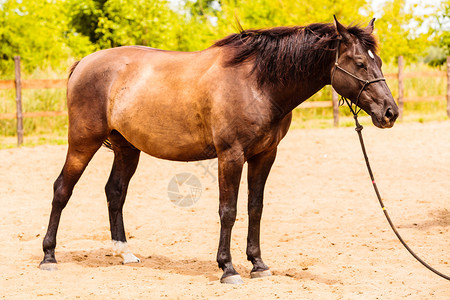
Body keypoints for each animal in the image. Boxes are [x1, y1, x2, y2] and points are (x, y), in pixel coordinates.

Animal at [38, 17, 398, 284]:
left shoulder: (264, 156)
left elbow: (255, 208)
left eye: (378, 61)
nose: (390, 113)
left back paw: (125, 253)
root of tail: (84, 63)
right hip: (83, 142)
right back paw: (49, 256)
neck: (258, 84)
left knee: (114, 192)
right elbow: (229, 210)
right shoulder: (231, 155)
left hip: (127, 149)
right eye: (359, 63)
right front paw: (228, 268)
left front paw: (258, 264)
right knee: (61, 189)